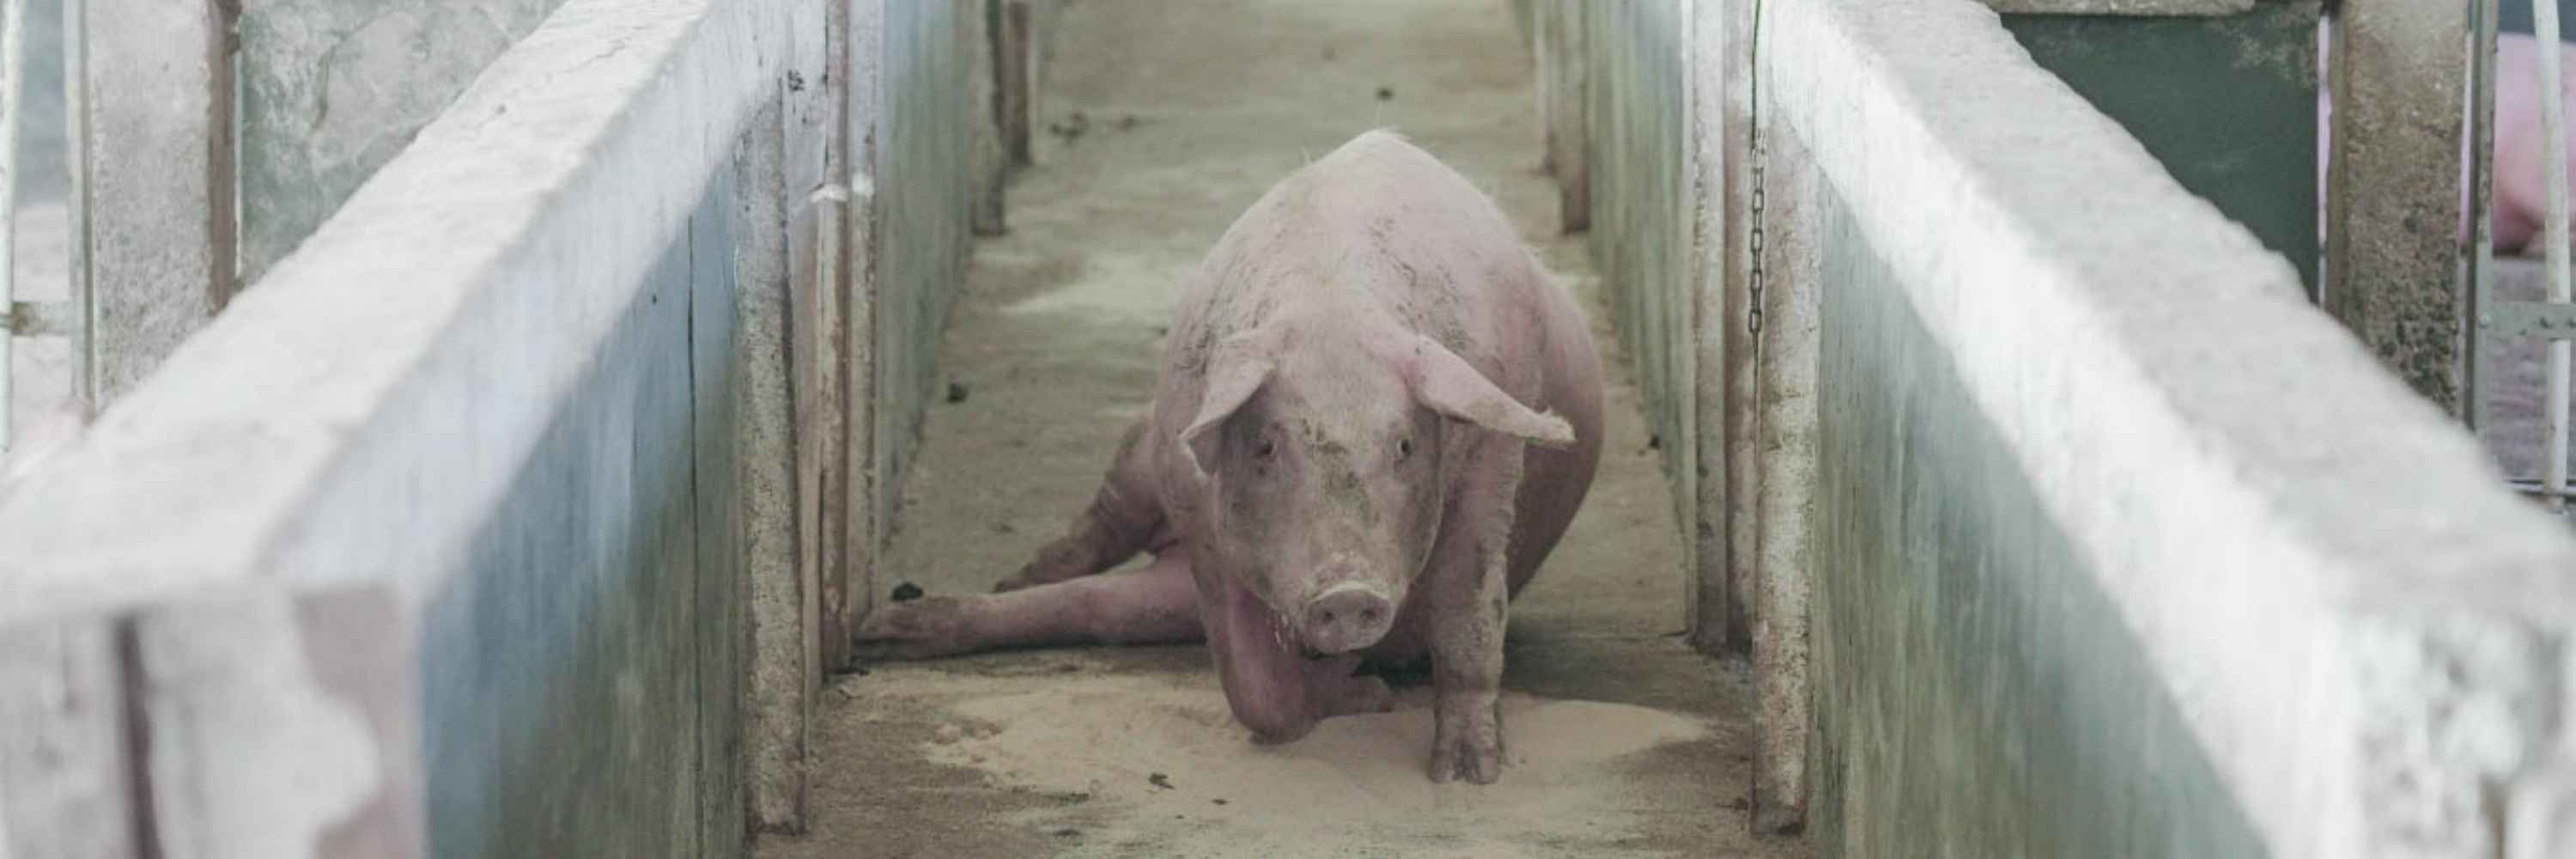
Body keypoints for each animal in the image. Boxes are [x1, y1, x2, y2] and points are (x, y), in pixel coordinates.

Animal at [856, 130, 1605, 785]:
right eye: (1268, 445)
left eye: (1404, 445)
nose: (1348, 595)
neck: (1332, 308)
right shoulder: (1199, 518)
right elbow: (1254, 693)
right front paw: (1363, 692)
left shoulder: (1492, 454)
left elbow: (1467, 607)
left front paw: (1467, 773)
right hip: (1144, 449)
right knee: (1092, 548)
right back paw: (930, 609)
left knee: (1096, 607)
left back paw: (884, 631)